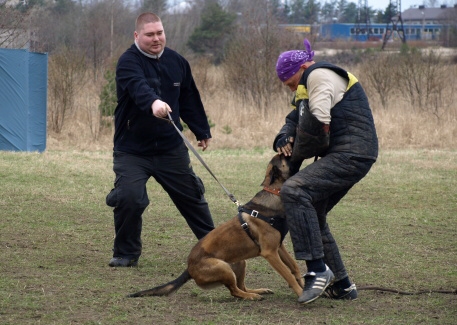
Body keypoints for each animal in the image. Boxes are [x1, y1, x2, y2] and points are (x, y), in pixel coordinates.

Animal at [128, 153, 302, 300]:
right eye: (284, 157)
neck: (273, 193)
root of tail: (189, 267)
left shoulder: (279, 247)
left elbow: (294, 267)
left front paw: (303, 285)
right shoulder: (270, 253)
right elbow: (288, 274)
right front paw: (301, 293)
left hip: (239, 262)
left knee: (241, 287)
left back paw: (257, 291)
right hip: (223, 267)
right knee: (235, 291)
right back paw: (252, 296)